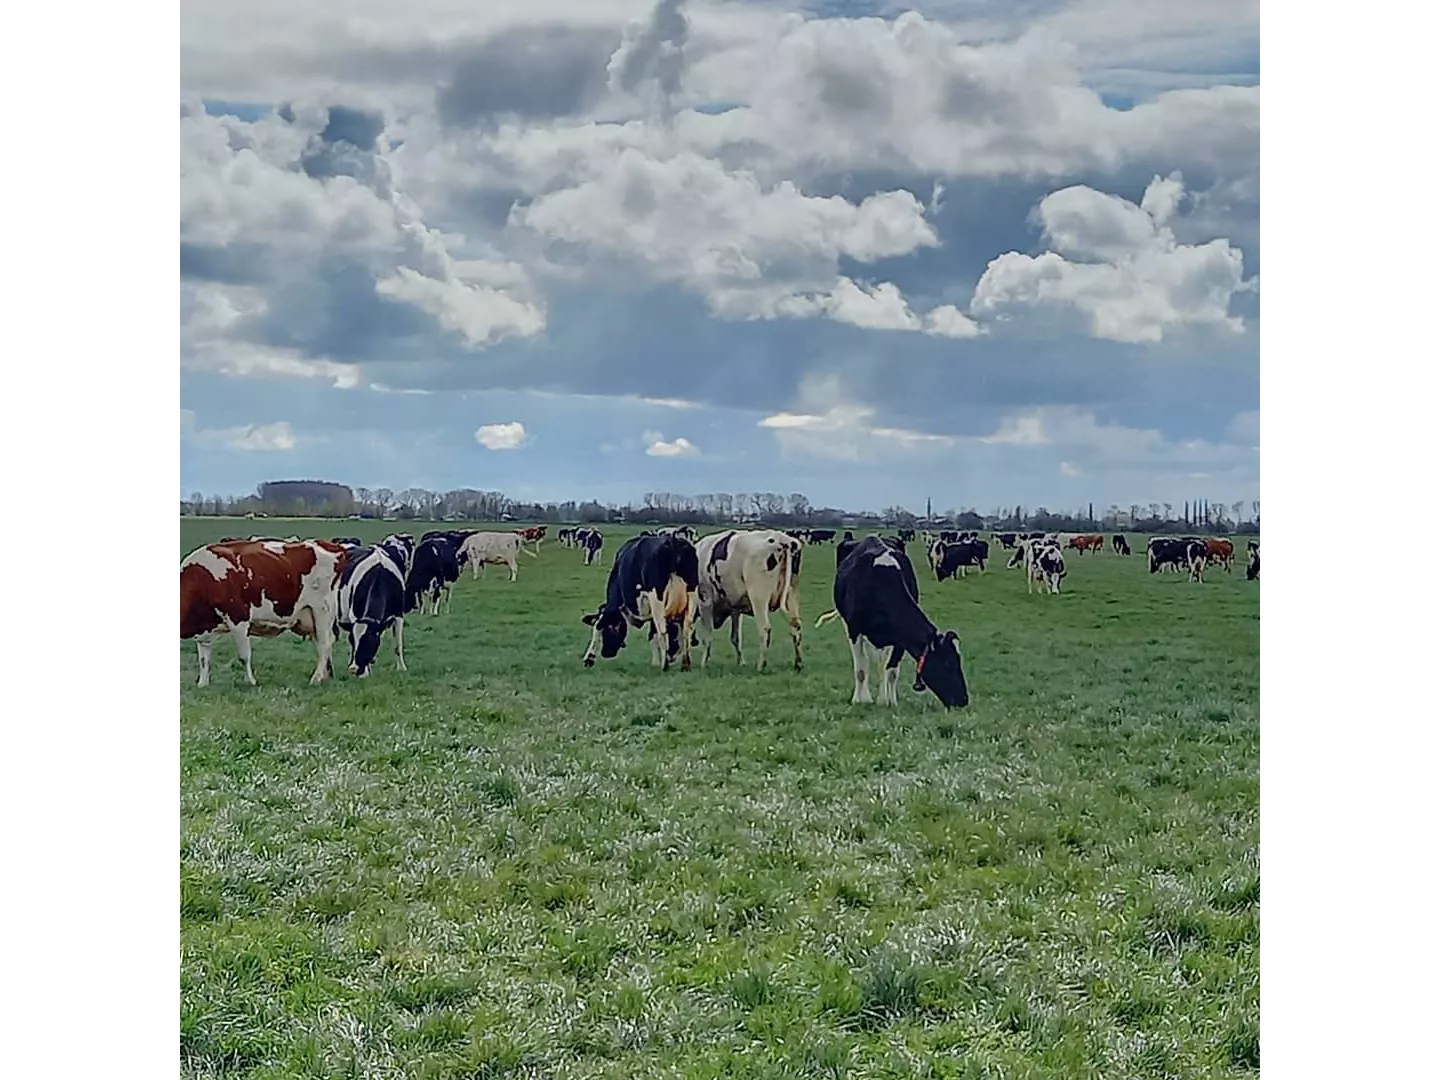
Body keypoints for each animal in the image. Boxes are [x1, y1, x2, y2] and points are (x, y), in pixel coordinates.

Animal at [180, 538, 346, 687]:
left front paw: (250, 682)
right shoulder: (204, 630)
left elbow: (244, 655)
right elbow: (204, 659)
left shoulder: (239, 618)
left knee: (324, 644)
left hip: (322, 610)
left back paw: (316, 679)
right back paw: (324, 676)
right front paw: (202, 684)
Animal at [336, 543, 407, 677]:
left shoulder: (398, 614)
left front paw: (401, 668)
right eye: (352, 640)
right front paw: (365, 672)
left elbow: (398, 644)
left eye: (368, 641)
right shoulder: (354, 616)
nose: (354, 669)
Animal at [581, 534, 701, 671]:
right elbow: (653, 632)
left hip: (656, 597)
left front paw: (589, 657)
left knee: (662, 629)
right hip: (692, 595)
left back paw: (664, 665)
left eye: (609, 628)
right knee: (687, 628)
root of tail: (673, 541)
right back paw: (685, 664)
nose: (606, 653)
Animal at [694, 529, 804, 672]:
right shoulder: (735, 608)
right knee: (796, 626)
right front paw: (741, 662)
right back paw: (798, 663)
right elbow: (735, 637)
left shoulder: (705, 601)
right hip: (791, 594)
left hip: (758, 597)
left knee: (765, 628)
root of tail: (782, 540)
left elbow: (707, 636)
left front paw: (703, 663)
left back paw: (761, 665)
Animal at [812, 536, 969, 709]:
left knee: (882, 665)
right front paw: (861, 699)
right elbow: (861, 669)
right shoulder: (854, 630)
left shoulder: (900, 639)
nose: (964, 700)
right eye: (949, 663)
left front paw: (889, 700)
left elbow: (891, 671)